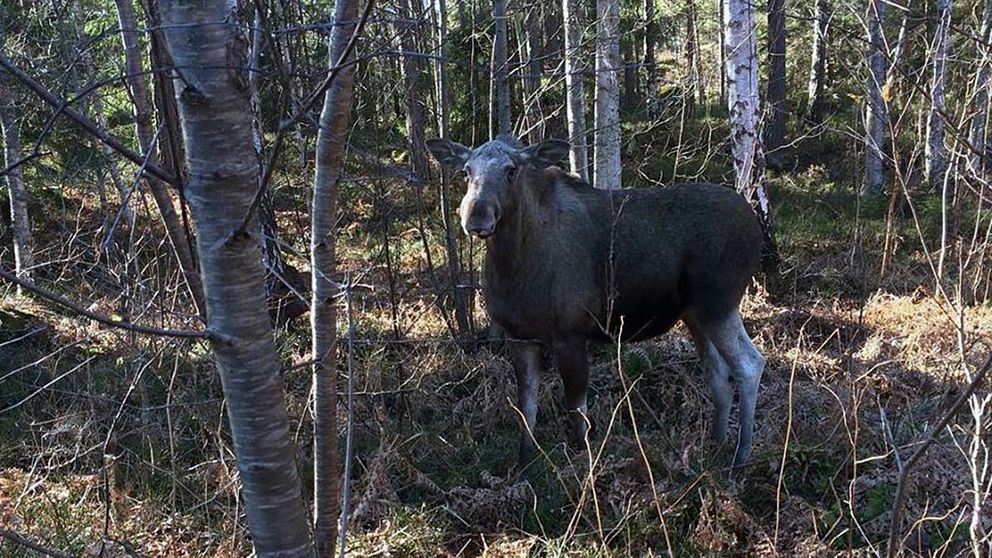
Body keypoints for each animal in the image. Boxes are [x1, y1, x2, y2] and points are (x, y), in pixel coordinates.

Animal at [426, 136, 768, 468]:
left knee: (750, 364)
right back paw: (717, 445)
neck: (513, 266)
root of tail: (757, 230)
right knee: (719, 375)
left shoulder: (570, 334)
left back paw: (740, 456)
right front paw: (523, 468)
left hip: (718, 303)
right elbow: (526, 409)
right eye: (466, 170)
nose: (476, 215)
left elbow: (577, 413)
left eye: (512, 170)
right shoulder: (520, 336)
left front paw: (584, 466)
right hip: (695, 315)